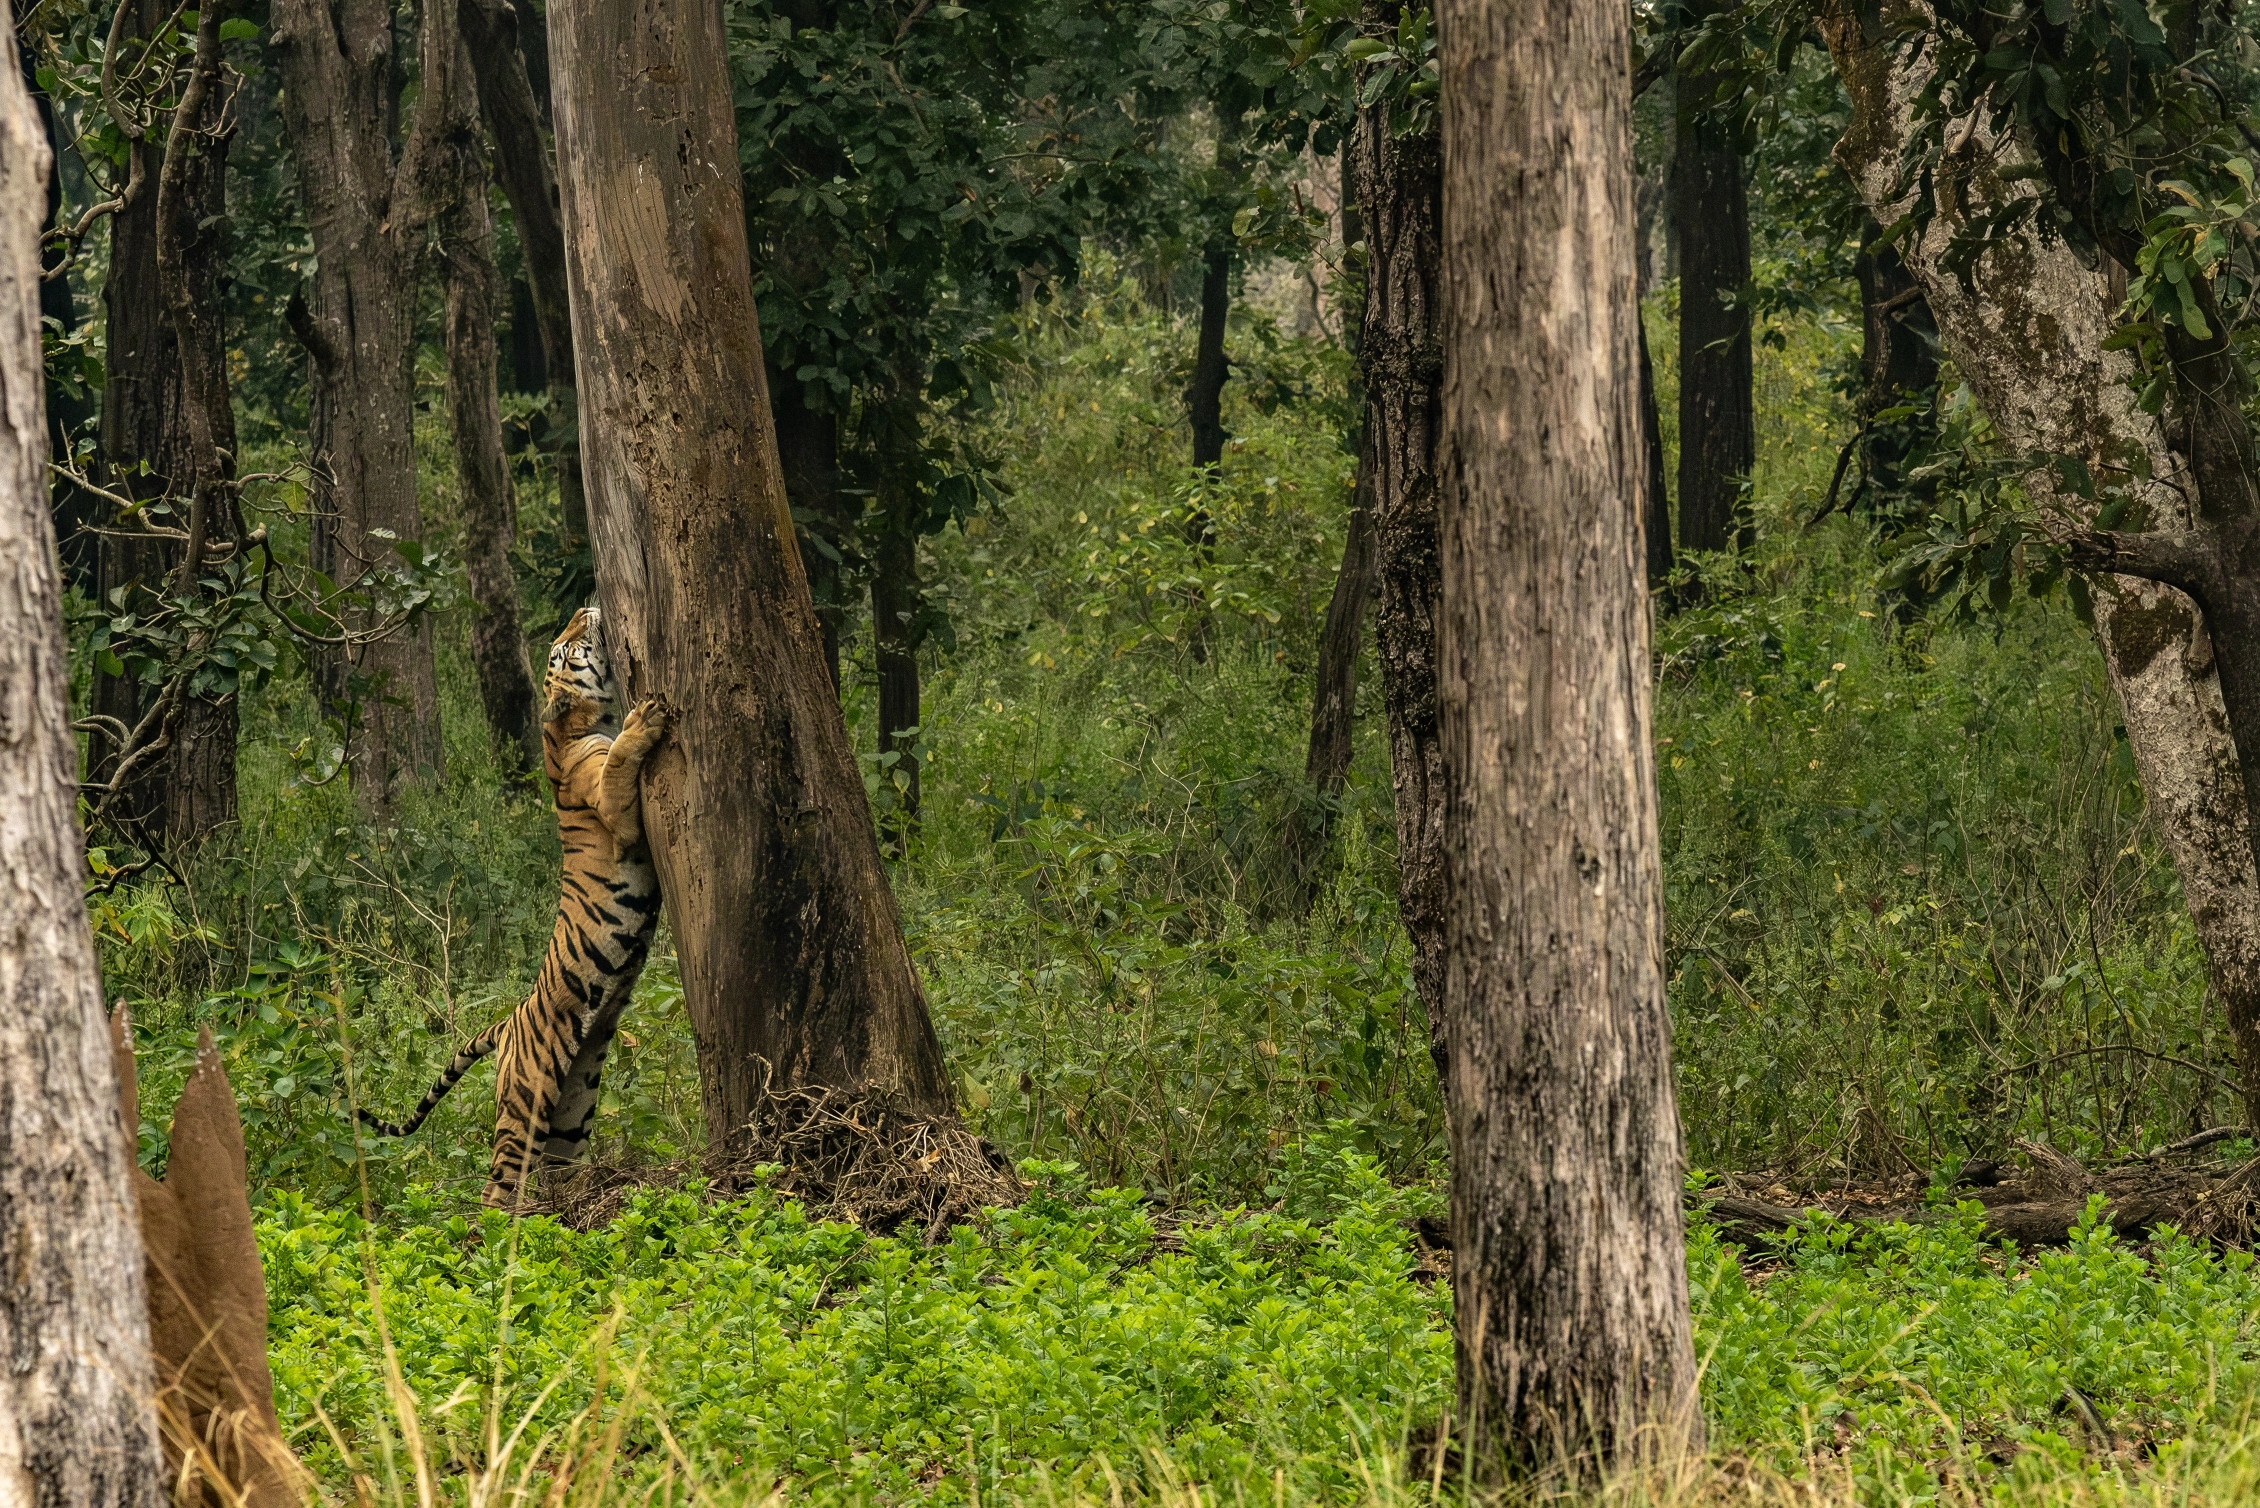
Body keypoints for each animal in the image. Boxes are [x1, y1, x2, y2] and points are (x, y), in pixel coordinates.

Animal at [358, 606, 672, 1207]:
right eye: (563, 650)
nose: (585, 610)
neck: (571, 729)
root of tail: (506, 1023)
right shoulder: (618, 814)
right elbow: (622, 756)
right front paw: (645, 717)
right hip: (528, 1097)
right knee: (498, 1180)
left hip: (577, 1094)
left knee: (559, 1162)